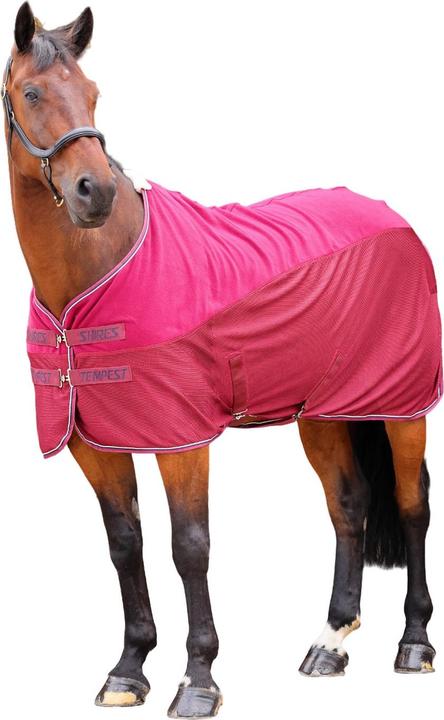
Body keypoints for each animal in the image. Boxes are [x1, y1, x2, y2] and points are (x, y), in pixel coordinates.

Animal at [3, 3, 442, 717]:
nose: (94, 192)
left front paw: (198, 678)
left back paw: (414, 643)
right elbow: (125, 544)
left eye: (94, 93)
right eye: (32, 93)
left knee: (411, 505)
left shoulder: (182, 441)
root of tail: (391, 217)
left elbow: (190, 548)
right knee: (349, 504)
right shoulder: (93, 443)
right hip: (321, 413)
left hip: (403, 405)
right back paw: (330, 643)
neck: (97, 274)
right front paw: (128, 669)